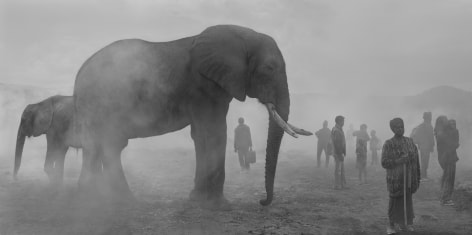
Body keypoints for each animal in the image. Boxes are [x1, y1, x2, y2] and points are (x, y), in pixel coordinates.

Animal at [74, 24, 314, 206]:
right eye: (269, 68)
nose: (262, 202)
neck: (243, 36)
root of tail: (80, 73)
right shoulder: (202, 86)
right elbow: (215, 131)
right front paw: (218, 205)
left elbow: (200, 135)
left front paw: (197, 200)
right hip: (104, 100)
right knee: (108, 144)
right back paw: (120, 200)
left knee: (99, 145)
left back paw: (95, 198)